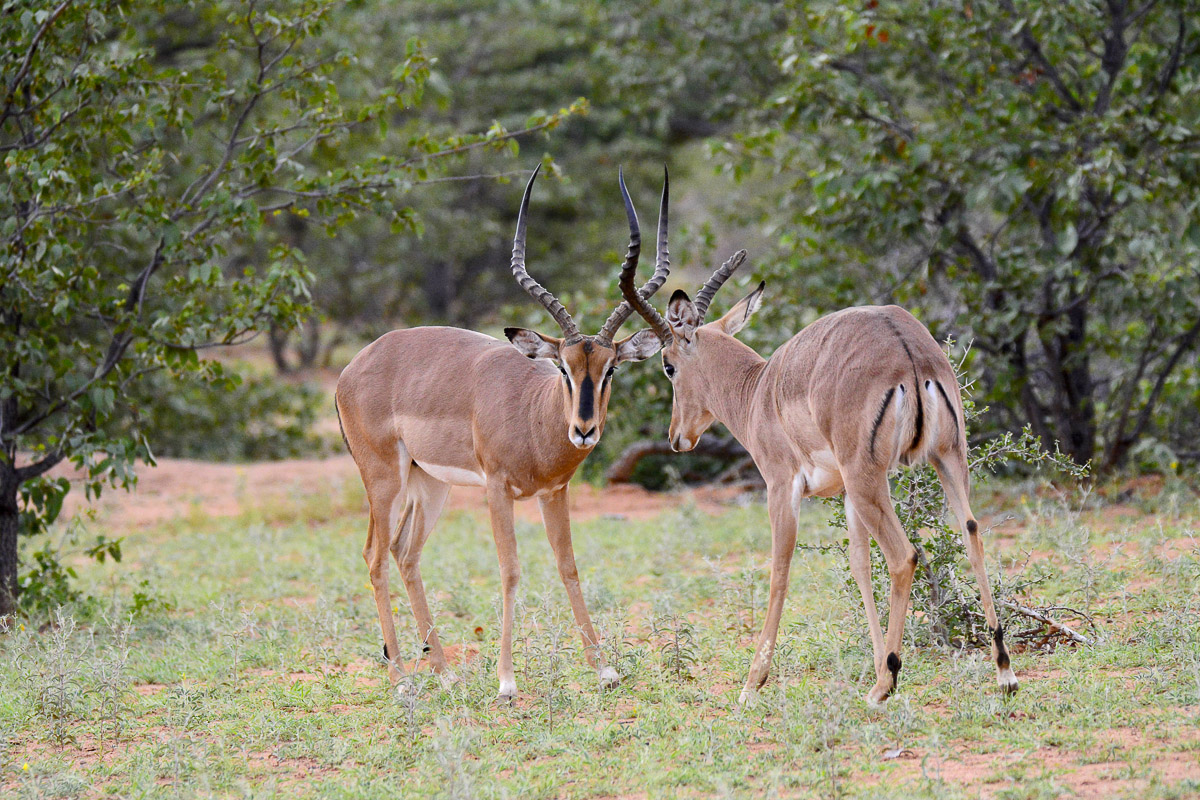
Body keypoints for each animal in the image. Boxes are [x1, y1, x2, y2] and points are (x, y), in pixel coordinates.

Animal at [335, 166, 667, 699]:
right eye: (563, 368)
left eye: (611, 368)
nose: (583, 430)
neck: (533, 415)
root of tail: (352, 367)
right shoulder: (496, 488)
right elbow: (510, 570)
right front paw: (507, 681)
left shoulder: (553, 491)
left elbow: (568, 566)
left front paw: (604, 670)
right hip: (384, 479)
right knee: (374, 556)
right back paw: (402, 680)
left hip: (430, 483)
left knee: (405, 553)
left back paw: (444, 672)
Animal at [619, 251, 1018, 706]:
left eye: (668, 366)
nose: (677, 437)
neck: (758, 391)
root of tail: (907, 348)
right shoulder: (844, 493)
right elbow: (859, 565)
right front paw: (877, 663)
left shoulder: (781, 486)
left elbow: (780, 569)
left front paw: (752, 683)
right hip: (944, 459)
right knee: (972, 532)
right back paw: (1003, 673)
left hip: (870, 477)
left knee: (904, 556)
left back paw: (885, 687)